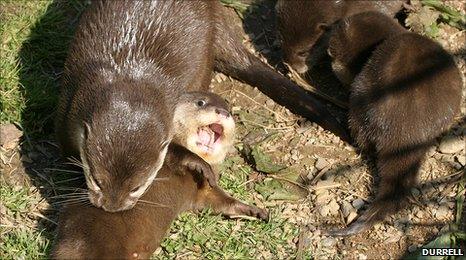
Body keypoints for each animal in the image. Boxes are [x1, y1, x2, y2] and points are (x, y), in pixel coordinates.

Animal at [55, 0, 350, 211]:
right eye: (97, 180)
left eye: (137, 187)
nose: (112, 208)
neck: (130, 78)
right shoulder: (69, 106)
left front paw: (198, 165)